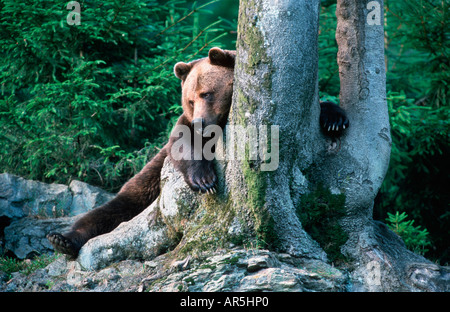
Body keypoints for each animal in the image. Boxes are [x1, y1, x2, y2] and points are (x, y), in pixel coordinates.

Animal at [45, 46, 348, 256]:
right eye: (191, 99)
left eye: (208, 93)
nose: (202, 123)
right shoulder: (182, 129)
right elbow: (182, 143)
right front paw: (205, 180)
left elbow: (321, 107)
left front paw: (334, 119)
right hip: (148, 182)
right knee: (112, 210)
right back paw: (62, 239)